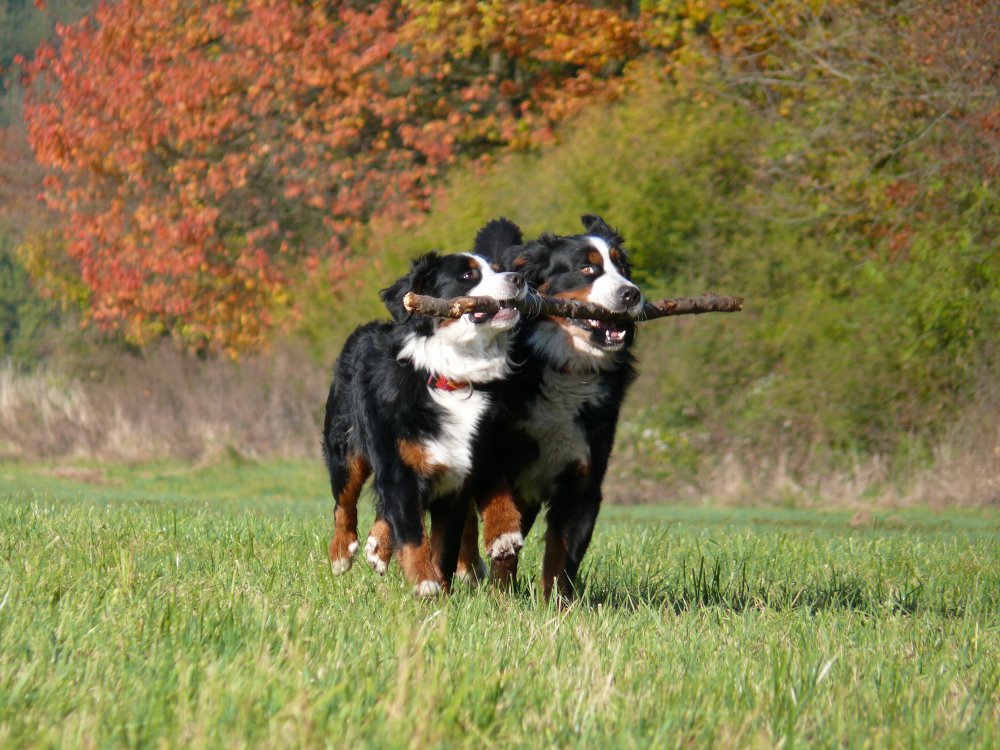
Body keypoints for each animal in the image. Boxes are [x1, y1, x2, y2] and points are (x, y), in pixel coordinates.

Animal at [470, 214, 640, 604]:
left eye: (624, 269)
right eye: (586, 268)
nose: (632, 293)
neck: (566, 368)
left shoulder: (582, 477)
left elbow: (562, 556)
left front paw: (556, 607)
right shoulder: (494, 455)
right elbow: (501, 521)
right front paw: (500, 600)